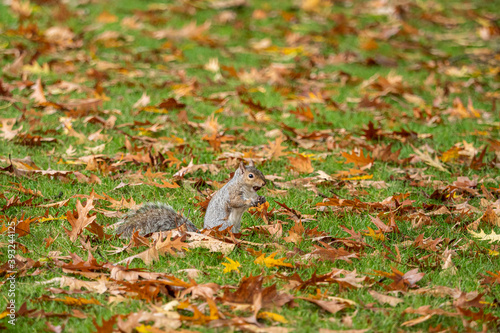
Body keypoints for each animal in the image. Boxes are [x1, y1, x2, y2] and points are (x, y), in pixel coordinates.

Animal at [114, 160, 268, 236]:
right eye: (250, 176)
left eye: (260, 172)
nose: (264, 183)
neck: (247, 189)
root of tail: (205, 232)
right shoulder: (232, 193)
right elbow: (236, 202)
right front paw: (250, 201)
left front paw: (261, 199)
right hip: (225, 225)